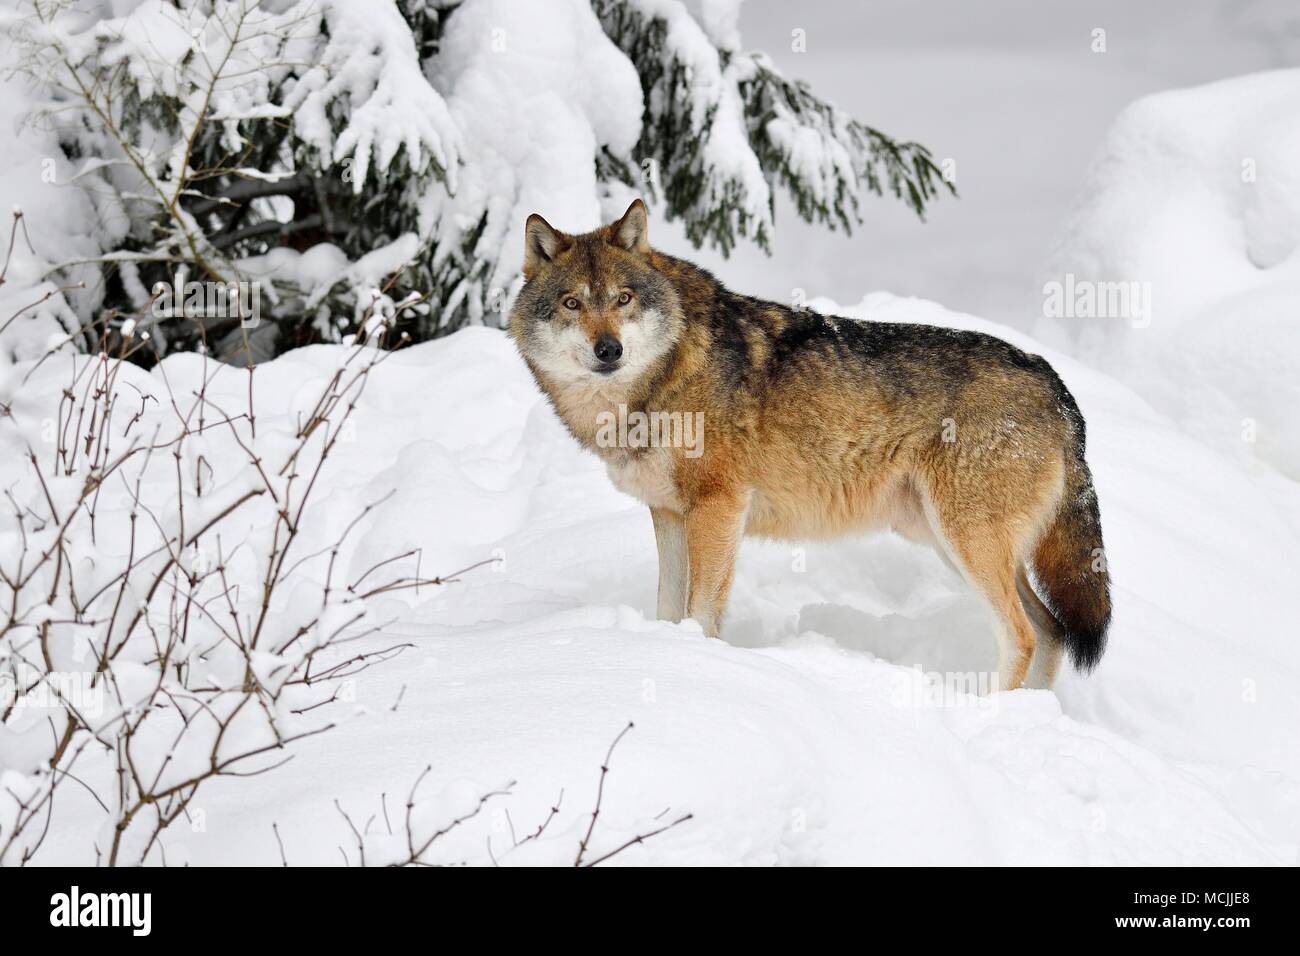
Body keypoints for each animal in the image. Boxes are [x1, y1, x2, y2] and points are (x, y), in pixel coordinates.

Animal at [509, 200, 1110, 690]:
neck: (664, 377)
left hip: (965, 542)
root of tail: (1055, 385)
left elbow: (700, 613)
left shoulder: (719, 509)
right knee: (1052, 631)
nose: (608, 350)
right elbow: (666, 607)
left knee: (1023, 635)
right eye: (572, 303)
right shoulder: (670, 514)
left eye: (624, 298)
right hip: (952, 543)